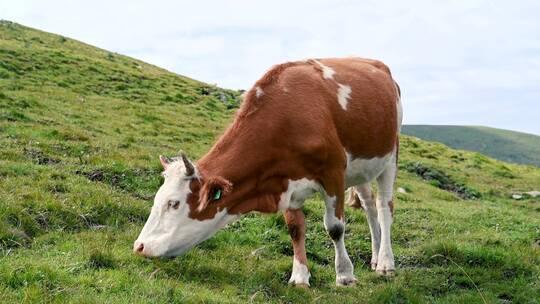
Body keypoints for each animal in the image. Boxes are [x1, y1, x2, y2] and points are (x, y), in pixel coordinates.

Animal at [133, 57, 402, 288]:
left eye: (174, 203)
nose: (140, 246)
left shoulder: (333, 173)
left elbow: (335, 228)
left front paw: (345, 275)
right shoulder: (286, 181)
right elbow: (295, 229)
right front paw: (300, 277)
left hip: (390, 155)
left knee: (384, 207)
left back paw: (386, 263)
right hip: (361, 169)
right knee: (369, 205)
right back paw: (376, 256)